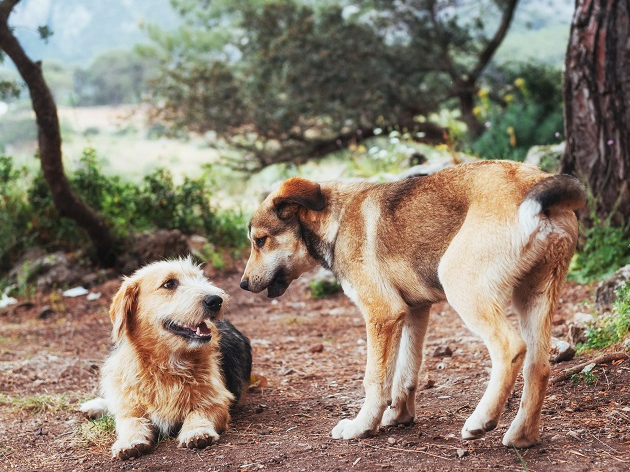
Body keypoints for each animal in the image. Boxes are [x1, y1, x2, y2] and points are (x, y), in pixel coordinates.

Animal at [81, 258, 252, 460]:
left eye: (201, 278)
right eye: (169, 284)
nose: (216, 300)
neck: (166, 365)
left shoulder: (217, 401)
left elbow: (198, 413)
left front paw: (196, 431)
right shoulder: (130, 408)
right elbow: (129, 421)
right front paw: (129, 441)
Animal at [242, 160, 588, 448]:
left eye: (260, 241)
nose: (243, 284)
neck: (336, 220)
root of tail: (534, 180)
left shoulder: (382, 314)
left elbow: (376, 380)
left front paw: (362, 426)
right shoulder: (414, 311)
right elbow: (405, 373)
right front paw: (398, 417)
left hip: (461, 284)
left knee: (511, 347)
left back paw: (482, 420)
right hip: (533, 297)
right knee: (539, 366)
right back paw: (522, 436)